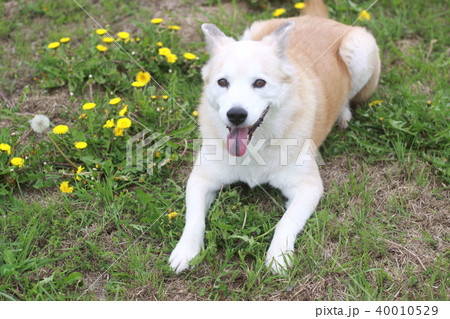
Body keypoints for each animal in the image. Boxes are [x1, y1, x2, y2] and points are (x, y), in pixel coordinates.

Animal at [169, 0, 380, 276]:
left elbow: (285, 223)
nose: (236, 115)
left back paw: (343, 113)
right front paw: (186, 251)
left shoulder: (308, 187)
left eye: (259, 83)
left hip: (360, 50)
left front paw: (278, 255)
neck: (255, 147)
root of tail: (316, 19)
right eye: (222, 82)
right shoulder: (200, 179)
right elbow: (194, 221)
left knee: (350, 96)